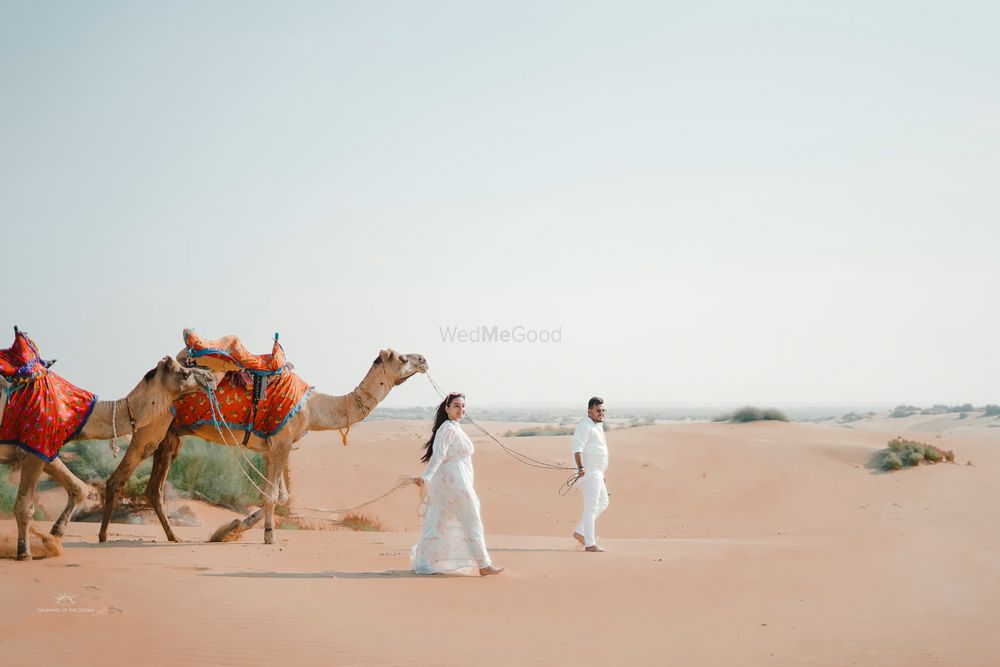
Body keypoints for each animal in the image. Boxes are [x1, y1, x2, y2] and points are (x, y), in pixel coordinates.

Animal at [2, 358, 215, 560]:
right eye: (184, 372)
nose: (210, 377)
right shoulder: (32, 447)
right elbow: (24, 506)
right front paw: (24, 553)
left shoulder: (44, 448)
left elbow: (79, 488)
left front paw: (53, 538)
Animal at [100, 348, 426, 544]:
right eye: (401, 358)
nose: (423, 359)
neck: (314, 407)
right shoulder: (282, 442)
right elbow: (271, 494)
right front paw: (269, 536)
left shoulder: (273, 447)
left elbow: (280, 495)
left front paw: (231, 530)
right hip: (150, 429)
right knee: (117, 479)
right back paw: (103, 537)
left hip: (171, 436)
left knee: (154, 488)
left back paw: (173, 537)